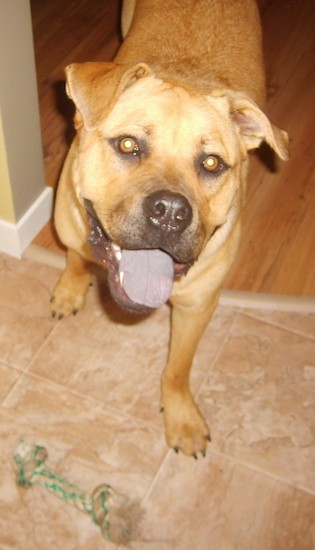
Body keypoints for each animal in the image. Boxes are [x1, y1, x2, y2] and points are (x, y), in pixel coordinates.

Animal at [51, 0, 288, 458]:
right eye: (128, 145)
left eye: (212, 163)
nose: (171, 212)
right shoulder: (68, 220)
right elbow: (74, 256)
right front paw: (71, 288)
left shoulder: (198, 304)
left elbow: (178, 368)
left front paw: (181, 416)